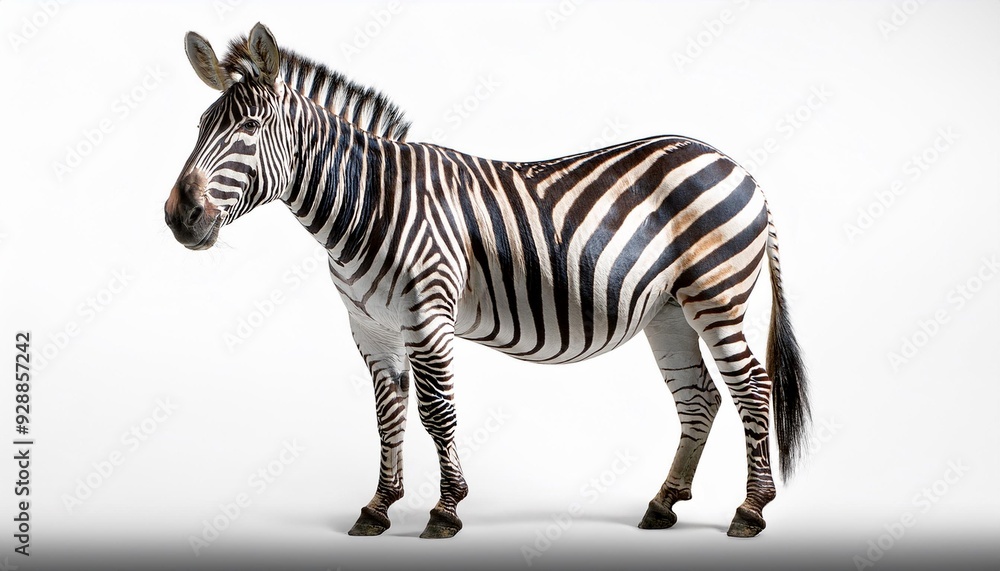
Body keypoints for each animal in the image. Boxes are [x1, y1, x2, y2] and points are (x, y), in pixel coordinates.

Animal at [164, 23, 810, 539]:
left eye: (251, 126)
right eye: (199, 126)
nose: (179, 216)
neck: (369, 203)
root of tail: (739, 165)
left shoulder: (427, 316)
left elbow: (437, 412)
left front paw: (445, 511)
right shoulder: (370, 329)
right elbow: (387, 413)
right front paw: (378, 508)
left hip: (714, 296)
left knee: (752, 388)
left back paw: (750, 511)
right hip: (669, 311)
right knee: (698, 396)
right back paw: (663, 505)